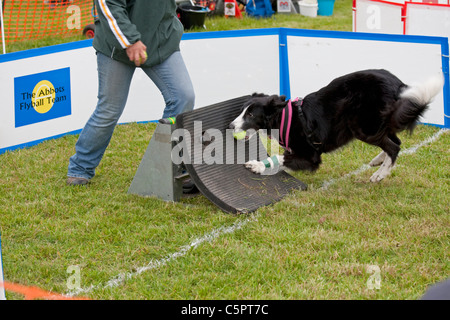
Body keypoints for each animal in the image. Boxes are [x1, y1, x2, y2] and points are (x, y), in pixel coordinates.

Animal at [229, 69, 442, 181]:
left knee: (394, 146)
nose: (231, 126)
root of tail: (398, 85)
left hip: (362, 127)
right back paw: (379, 161)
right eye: (241, 110)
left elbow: (280, 158)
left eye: (250, 114)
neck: (284, 117)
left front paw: (257, 166)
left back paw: (380, 174)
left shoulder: (312, 156)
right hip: (377, 123)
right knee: (395, 141)